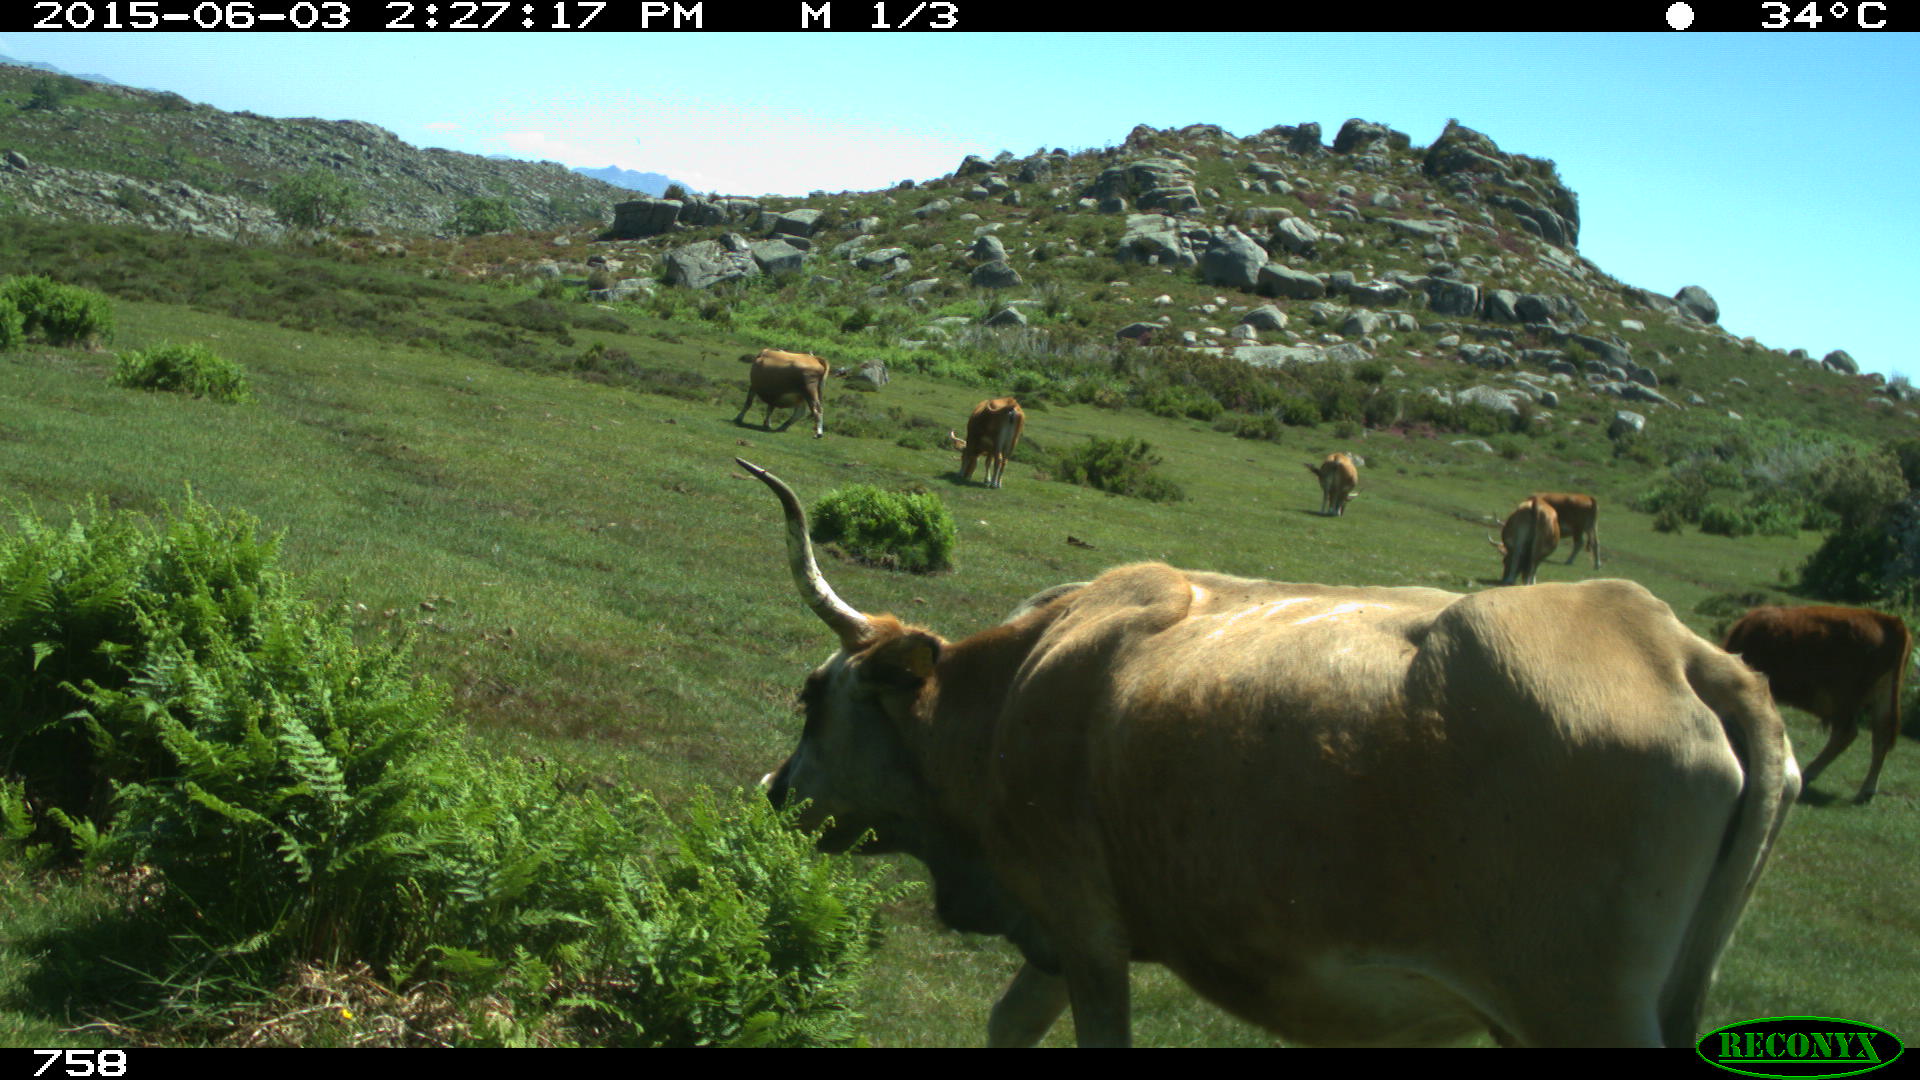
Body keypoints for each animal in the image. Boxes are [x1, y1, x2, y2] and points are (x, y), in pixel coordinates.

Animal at [738, 457, 1798, 1048]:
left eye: (811, 696)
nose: (771, 792)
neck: (1012, 691)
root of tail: (1684, 650)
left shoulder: (1084, 922)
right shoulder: (1064, 929)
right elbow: (1007, 1025)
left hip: (1582, 1011)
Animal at [1722, 605, 1912, 805]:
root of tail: (1891, 621)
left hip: (1844, 698)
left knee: (1846, 734)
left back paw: (1809, 773)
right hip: (1882, 698)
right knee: (1880, 738)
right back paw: (1865, 791)